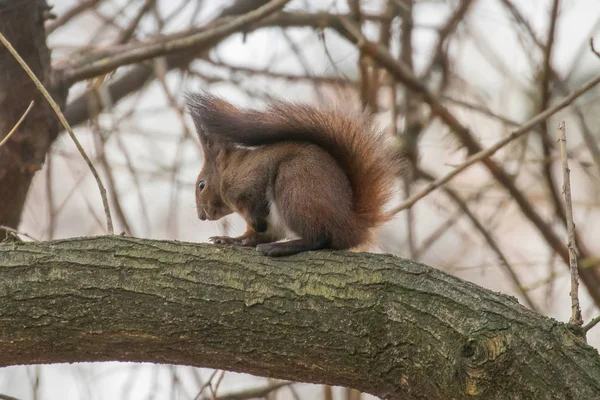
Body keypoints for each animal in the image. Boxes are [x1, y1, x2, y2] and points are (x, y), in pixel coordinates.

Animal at [186, 92, 404, 258]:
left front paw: (254, 222)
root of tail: (352, 225)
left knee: (319, 237)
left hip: (295, 188)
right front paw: (231, 239)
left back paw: (281, 247)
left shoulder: (251, 180)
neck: (230, 170)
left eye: (201, 185)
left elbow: (255, 204)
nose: (201, 216)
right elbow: (253, 233)